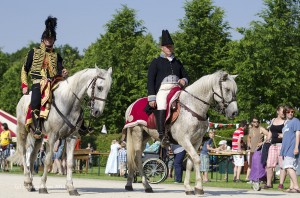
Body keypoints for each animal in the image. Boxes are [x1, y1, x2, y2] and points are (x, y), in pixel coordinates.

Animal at [9, 66, 112, 195]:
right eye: (99, 87)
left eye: (108, 89)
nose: (98, 112)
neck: (68, 101)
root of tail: (23, 99)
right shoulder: (52, 137)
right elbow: (48, 160)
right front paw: (43, 186)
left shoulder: (72, 137)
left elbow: (70, 162)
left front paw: (71, 187)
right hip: (23, 131)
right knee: (23, 153)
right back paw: (27, 180)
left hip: (37, 137)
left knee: (32, 157)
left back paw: (31, 185)